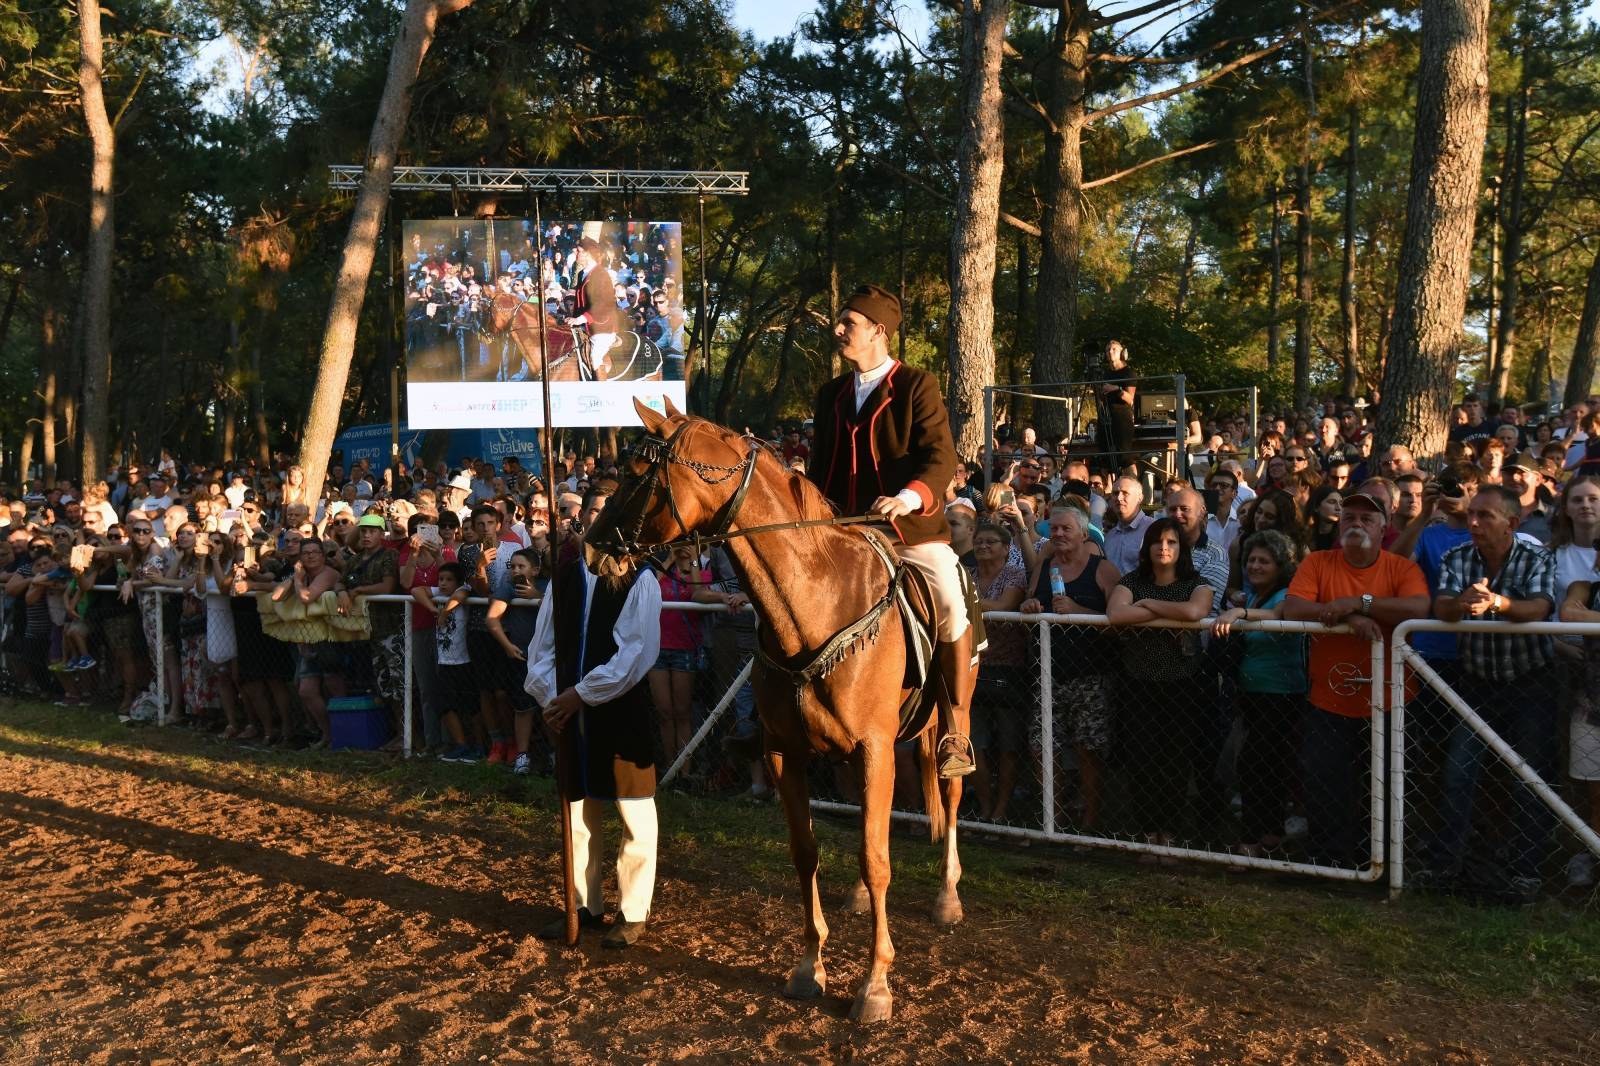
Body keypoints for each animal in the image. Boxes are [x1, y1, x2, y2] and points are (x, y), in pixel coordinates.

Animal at [585, 396, 966, 1024]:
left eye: (638, 473)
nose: (592, 547)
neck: (814, 603)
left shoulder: (875, 749)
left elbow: (876, 857)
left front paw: (875, 983)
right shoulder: (788, 751)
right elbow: (807, 852)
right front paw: (810, 966)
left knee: (951, 795)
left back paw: (948, 894)